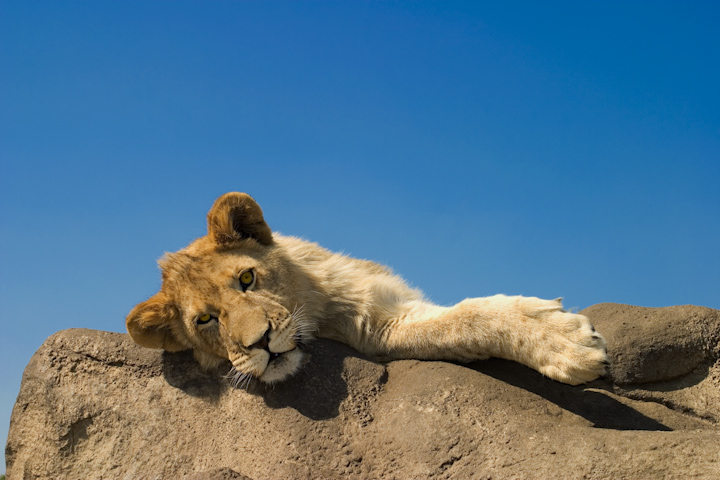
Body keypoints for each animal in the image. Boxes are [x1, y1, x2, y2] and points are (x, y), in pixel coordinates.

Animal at [126, 192, 608, 386]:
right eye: (206, 319)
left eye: (247, 279)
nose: (259, 343)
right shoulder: (377, 329)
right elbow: (454, 325)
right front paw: (567, 344)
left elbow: (464, 316)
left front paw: (565, 341)